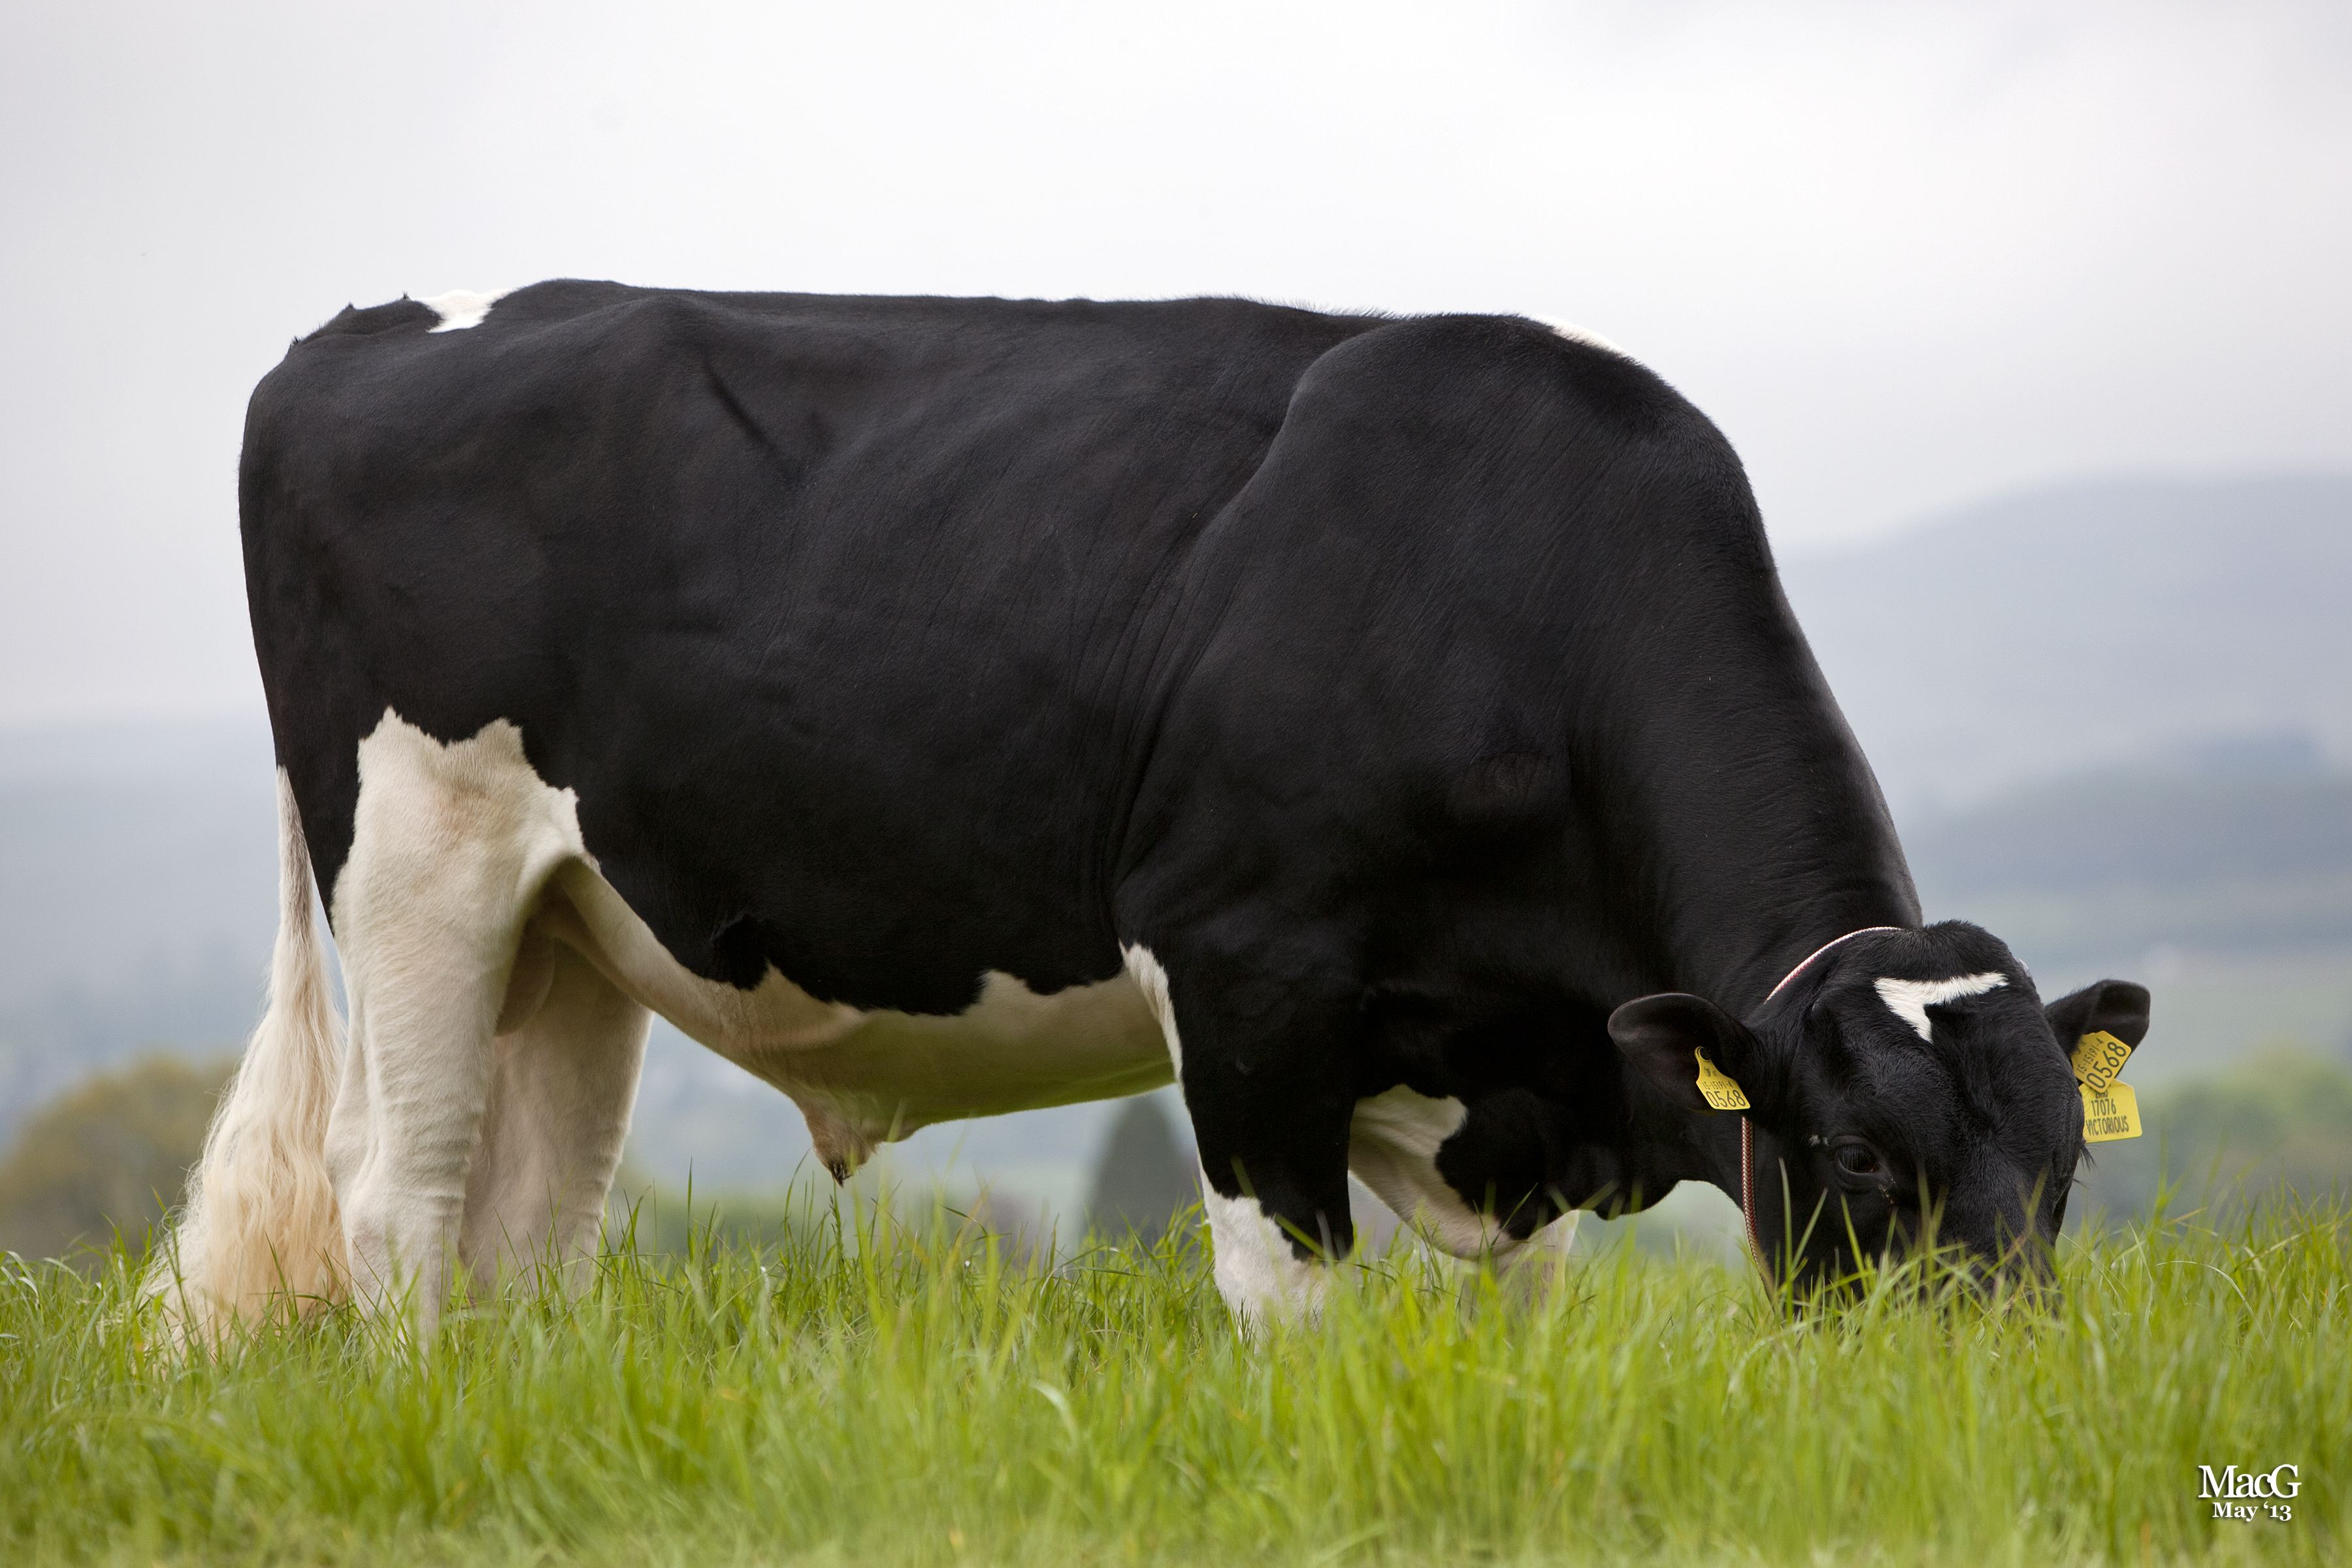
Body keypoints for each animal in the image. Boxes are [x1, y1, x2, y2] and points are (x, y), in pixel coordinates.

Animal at [152, 282, 2154, 1335]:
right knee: (399, 1208)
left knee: (526, 1231)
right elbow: (1290, 1304)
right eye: (1857, 1160)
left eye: (2064, 1165)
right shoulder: (1245, 975)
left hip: (569, 927)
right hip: (421, 858)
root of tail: (383, 327)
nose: (1995, 1378)